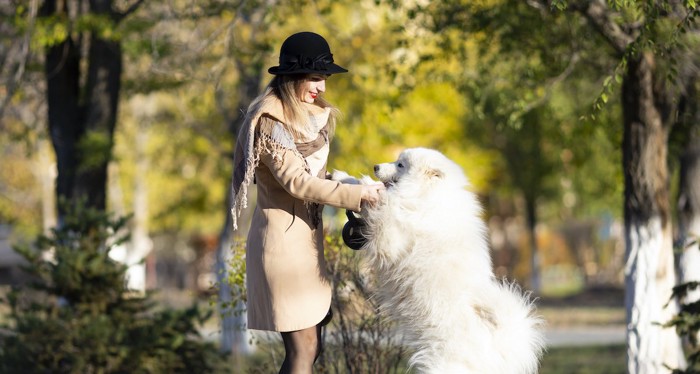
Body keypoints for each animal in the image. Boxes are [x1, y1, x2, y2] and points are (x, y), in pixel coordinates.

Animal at [334, 148, 548, 374]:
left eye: (401, 165)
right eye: (397, 160)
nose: (375, 166)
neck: (428, 196)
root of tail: (499, 351)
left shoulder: (390, 237)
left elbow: (384, 202)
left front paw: (365, 185)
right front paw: (344, 179)